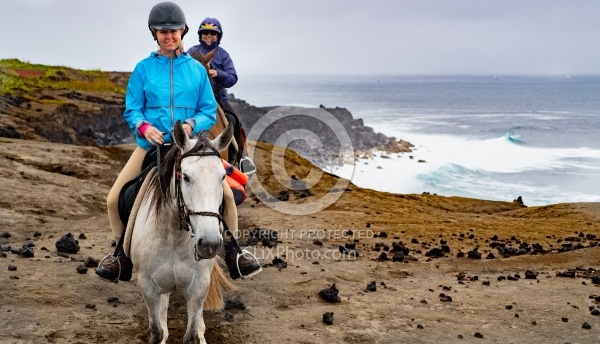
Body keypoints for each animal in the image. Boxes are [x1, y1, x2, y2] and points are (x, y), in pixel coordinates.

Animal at [131, 121, 237, 344]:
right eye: (185, 177)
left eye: (223, 176)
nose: (209, 244)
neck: (175, 237)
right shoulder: (148, 286)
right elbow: (156, 331)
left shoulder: (198, 287)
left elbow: (192, 335)